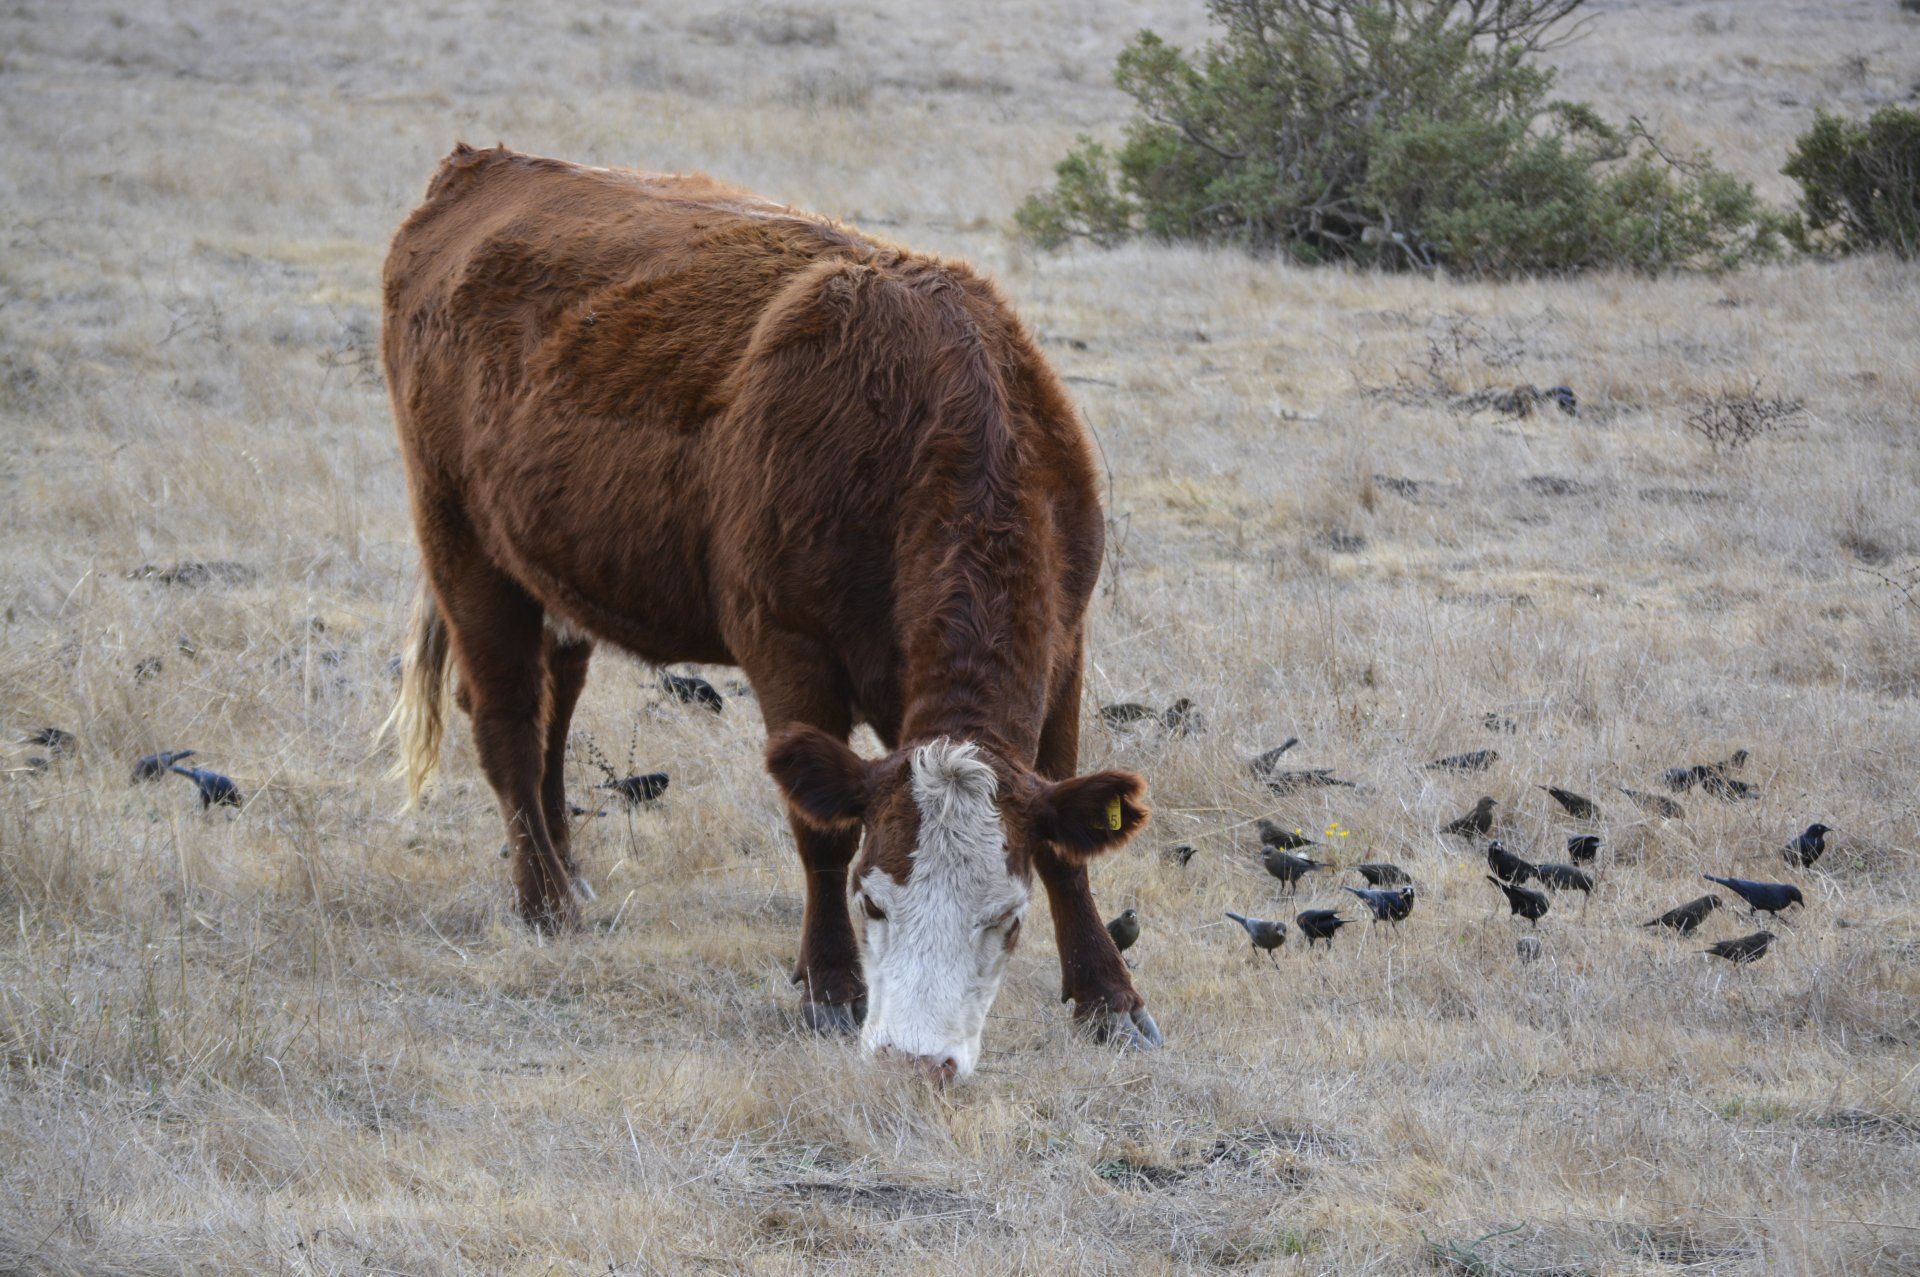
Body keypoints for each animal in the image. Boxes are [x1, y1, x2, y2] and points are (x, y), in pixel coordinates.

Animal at [377, 145, 1160, 1079]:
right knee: (505, 721)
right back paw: (546, 902)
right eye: (872, 901)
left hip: (553, 566)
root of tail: (483, 166)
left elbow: (1064, 842)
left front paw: (1109, 997)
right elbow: (819, 830)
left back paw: (571, 869)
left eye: (1007, 918)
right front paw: (829, 985)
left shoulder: (1065, 644)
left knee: (554, 710)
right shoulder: (785, 644)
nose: (915, 1060)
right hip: (458, 537)